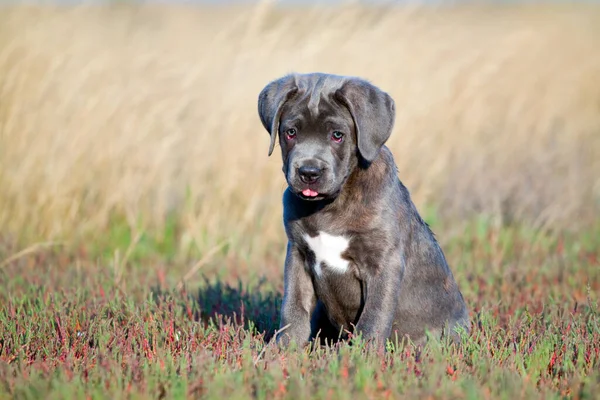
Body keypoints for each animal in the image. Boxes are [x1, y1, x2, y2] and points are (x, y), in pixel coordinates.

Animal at [256, 73, 468, 348]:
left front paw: (361, 354)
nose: (309, 172)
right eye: (291, 132)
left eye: (337, 135)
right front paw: (282, 349)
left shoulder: (383, 263)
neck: (331, 204)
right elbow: (294, 308)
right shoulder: (298, 255)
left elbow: (374, 316)